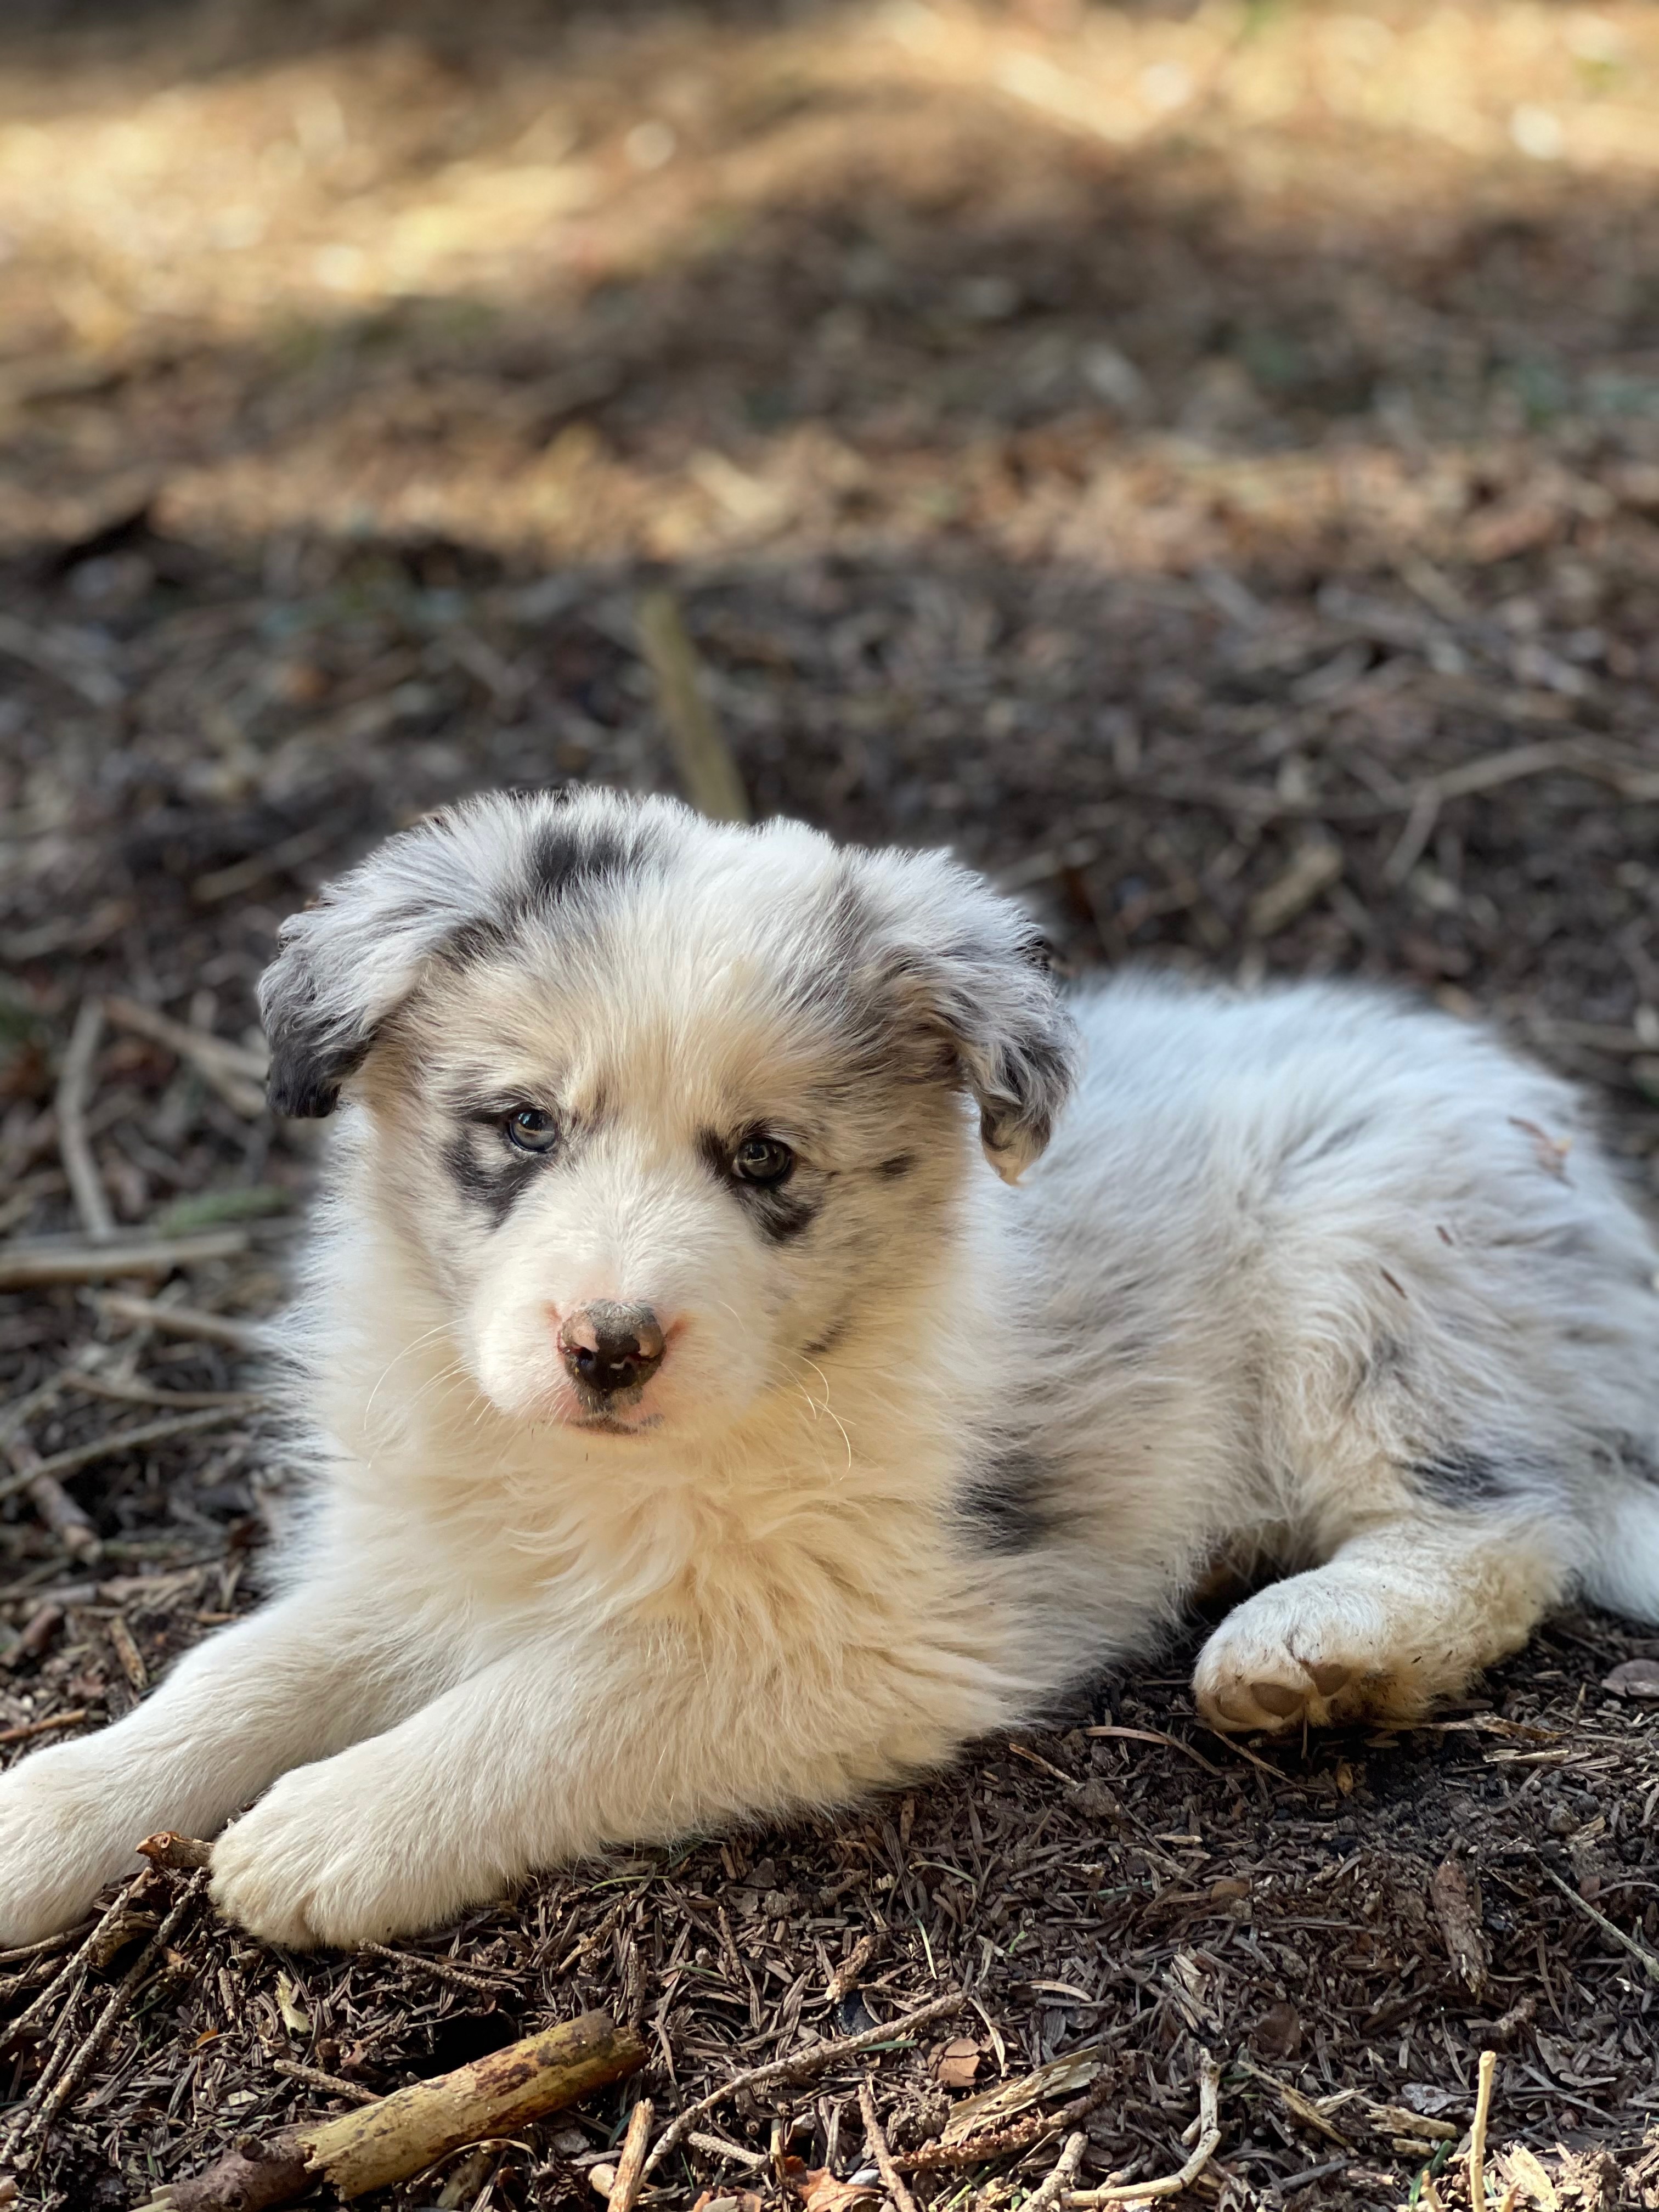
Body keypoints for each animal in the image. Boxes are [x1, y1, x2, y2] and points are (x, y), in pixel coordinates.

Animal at [3, 792, 1659, 1938]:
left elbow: (565, 1700)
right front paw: (51, 1810)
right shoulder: (425, 1562)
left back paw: (1313, 1647)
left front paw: (337, 1826)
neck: (611, 1478)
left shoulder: (864, 1632)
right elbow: (242, 1671)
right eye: (526, 1126)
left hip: (1365, 1265)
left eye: (764, 1159)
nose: (607, 1348)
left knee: (1510, 1517)